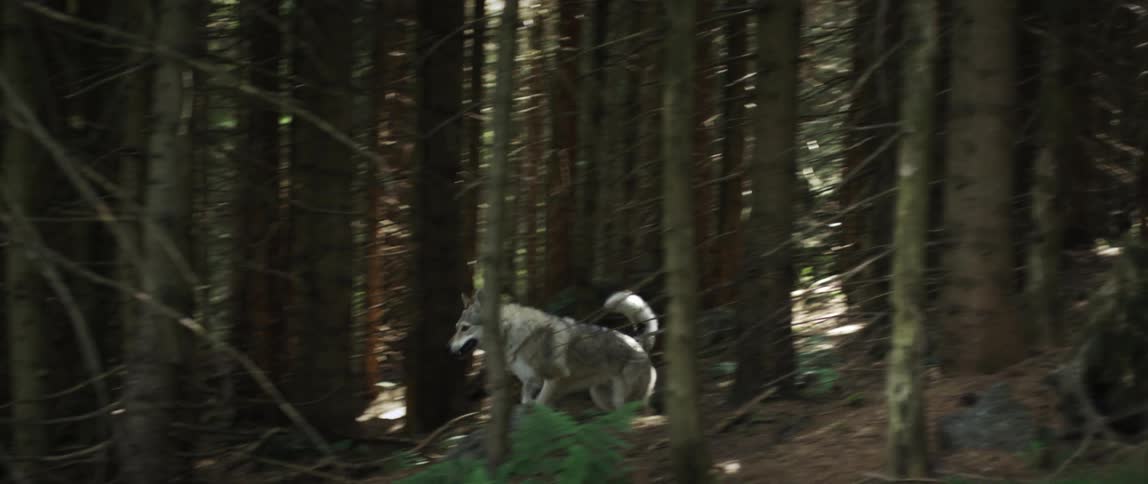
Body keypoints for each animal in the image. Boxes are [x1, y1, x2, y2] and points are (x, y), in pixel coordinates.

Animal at [448, 290, 659, 412]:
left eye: (464, 328)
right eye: (456, 327)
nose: (448, 348)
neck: (512, 333)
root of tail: (640, 344)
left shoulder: (553, 379)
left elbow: (541, 405)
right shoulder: (530, 382)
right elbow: (526, 400)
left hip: (625, 398)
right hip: (599, 395)